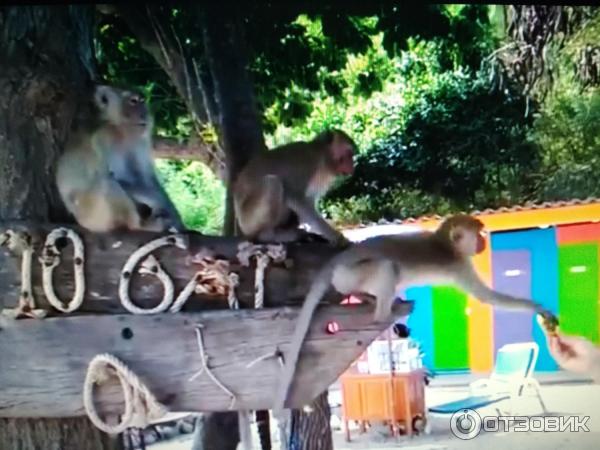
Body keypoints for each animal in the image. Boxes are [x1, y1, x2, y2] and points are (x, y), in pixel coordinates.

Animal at [56, 84, 184, 232]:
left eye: (142, 101)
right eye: (133, 101)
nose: (144, 113)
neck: (121, 130)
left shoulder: (140, 141)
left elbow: (146, 178)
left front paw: (175, 216)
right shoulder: (104, 137)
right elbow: (112, 175)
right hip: (91, 216)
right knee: (106, 183)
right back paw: (140, 225)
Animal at [274, 214, 560, 414]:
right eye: (477, 233)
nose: (483, 241)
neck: (445, 244)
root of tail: (335, 264)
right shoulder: (459, 266)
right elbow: (487, 297)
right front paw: (538, 308)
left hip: (346, 278)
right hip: (351, 273)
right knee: (387, 268)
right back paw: (382, 314)